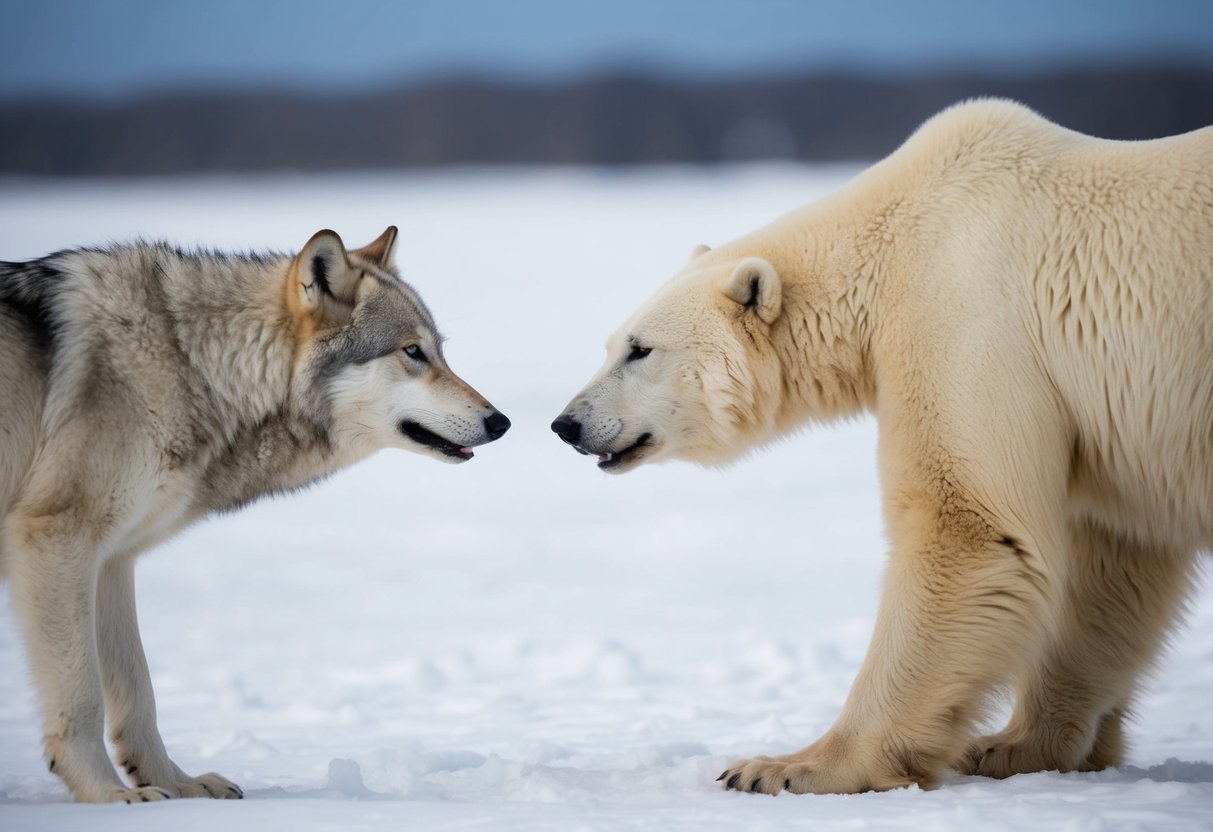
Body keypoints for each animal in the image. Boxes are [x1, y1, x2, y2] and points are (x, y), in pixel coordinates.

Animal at [0, 226, 510, 802]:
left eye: (440, 352)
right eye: (412, 352)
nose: (502, 422)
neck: (189, 364)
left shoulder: (112, 560)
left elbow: (139, 689)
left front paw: (176, 784)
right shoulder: (55, 539)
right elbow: (82, 694)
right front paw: (110, 795)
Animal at [551, 99, 1213, 795]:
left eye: (640, 349)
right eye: (611, 344)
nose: (566, 424)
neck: (890, 241)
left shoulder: (964, 319)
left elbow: (967, 525)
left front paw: (784, 767)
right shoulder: (1109, 426)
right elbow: (1115, 559)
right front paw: (1015, 746)